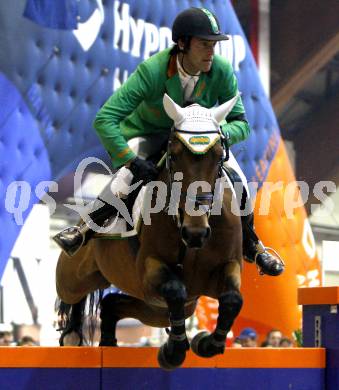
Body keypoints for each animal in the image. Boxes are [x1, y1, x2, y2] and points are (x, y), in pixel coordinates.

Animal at [57, 93, 246, 370]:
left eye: (219, 156)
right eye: (174, 156)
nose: (195, 233)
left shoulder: (225, 266)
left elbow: (233, 298)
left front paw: (206, 342)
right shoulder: (150, 269)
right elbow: (175, 289)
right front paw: (173, 350)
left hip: (157, 310)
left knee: (111, 304)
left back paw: (109, 342)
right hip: (76, 276)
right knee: (71, 296)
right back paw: (72, 333)